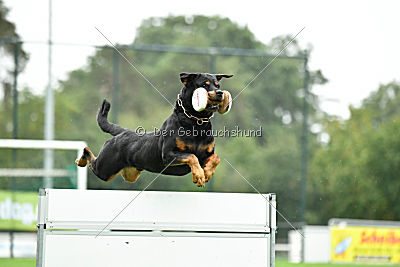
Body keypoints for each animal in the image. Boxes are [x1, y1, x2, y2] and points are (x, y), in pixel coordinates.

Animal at [76, 72, 231, 187]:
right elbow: (191, 156)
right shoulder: (168, 154)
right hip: (105, 168)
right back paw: (81, 160)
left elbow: (216, 158)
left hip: (129, 173)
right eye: (204, 85)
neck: (196, 123)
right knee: (90, 157)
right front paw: (199, 175)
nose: (220, 93)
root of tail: (123, 132)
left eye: (217, 85)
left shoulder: (207, 154)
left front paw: (207, 173)